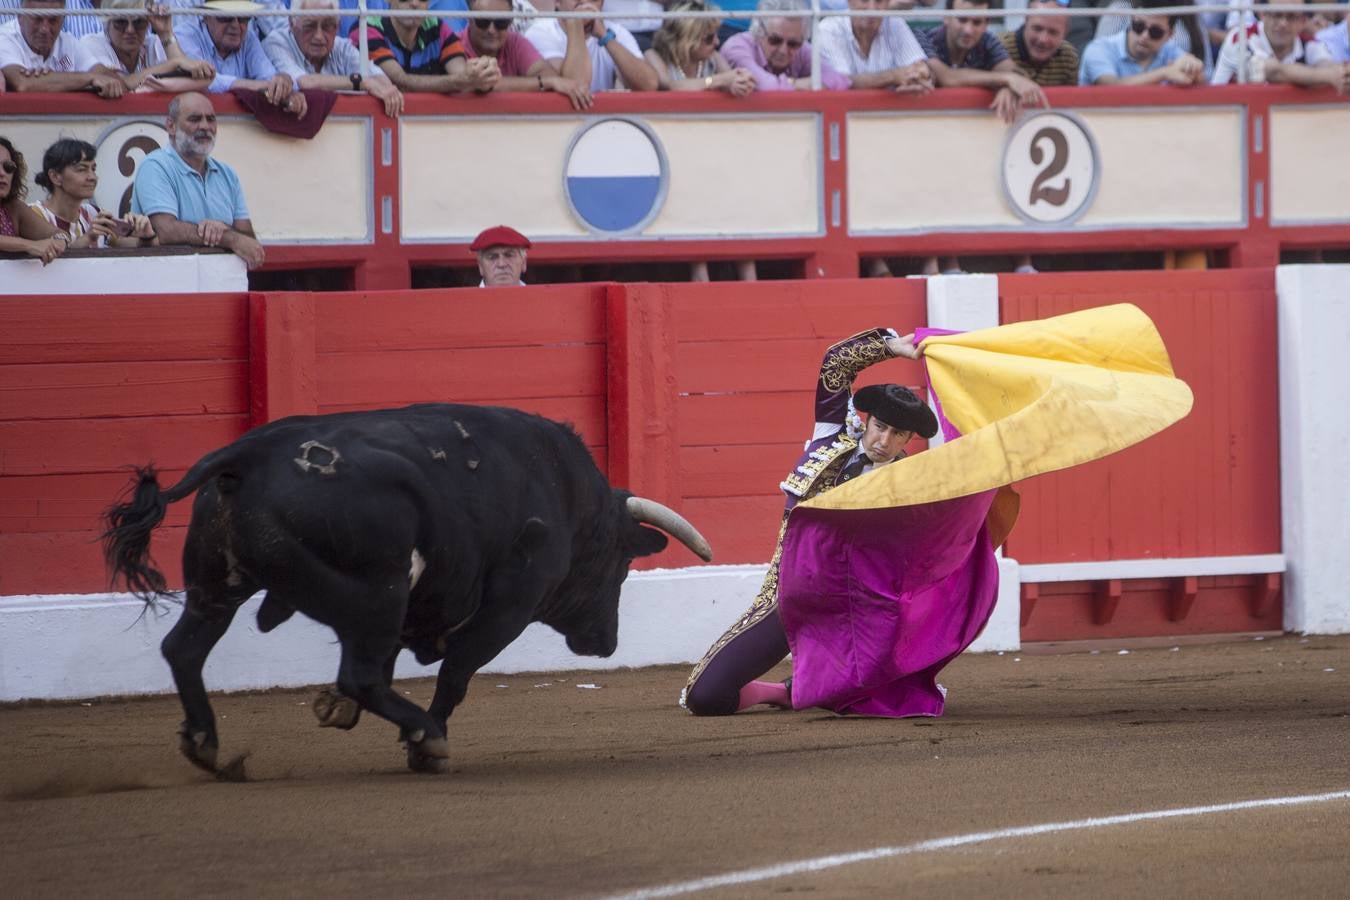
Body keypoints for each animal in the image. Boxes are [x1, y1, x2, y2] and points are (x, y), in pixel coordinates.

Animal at [102, 404, 718, 777]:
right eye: (621, 564)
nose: (605, 643)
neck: (566, 495)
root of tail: (251, 453)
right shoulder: (508, 607)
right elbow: (456, 674)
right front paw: (422, 739)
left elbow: (407, 661)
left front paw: (338, 709)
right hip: (379, 589)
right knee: (362, 671)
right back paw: (424, 734)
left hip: (217, 586)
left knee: (185, 650)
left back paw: (206, 744)